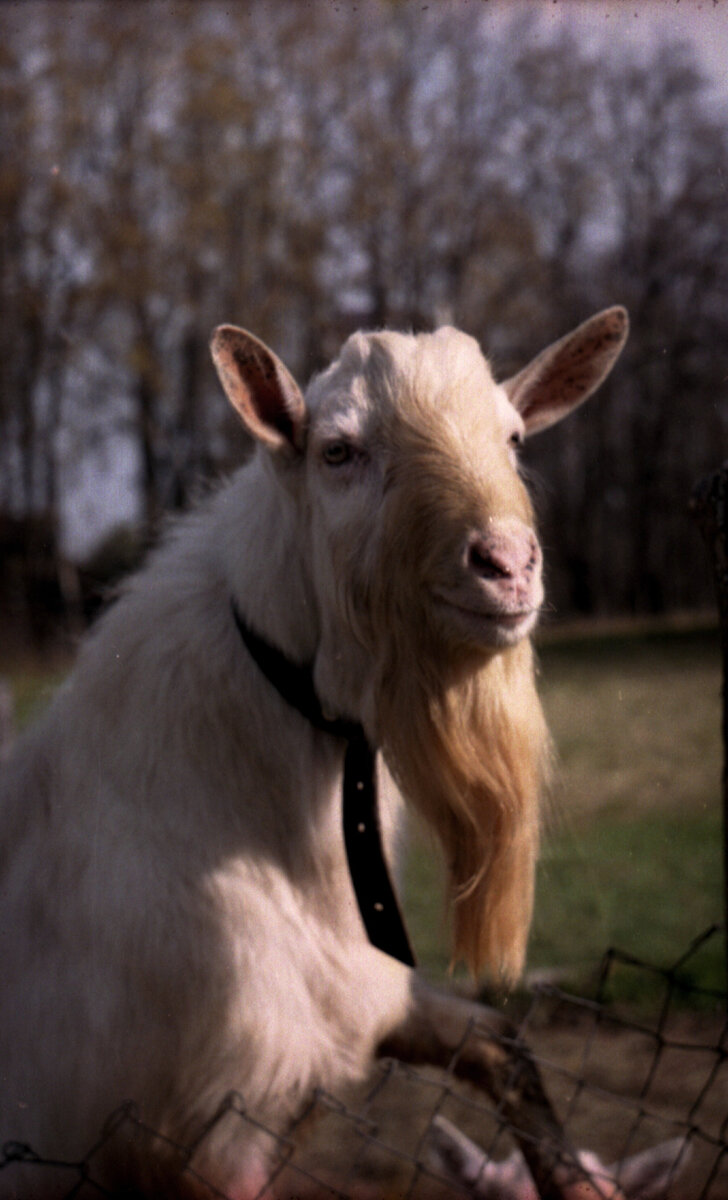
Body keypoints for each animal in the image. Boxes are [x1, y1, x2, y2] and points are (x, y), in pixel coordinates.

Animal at [0, 309, 628, 1200]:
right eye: (339, 451)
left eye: (513, 437)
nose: (507, 565)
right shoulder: (207, 1127)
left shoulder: (357, 1006)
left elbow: (502, 1044)